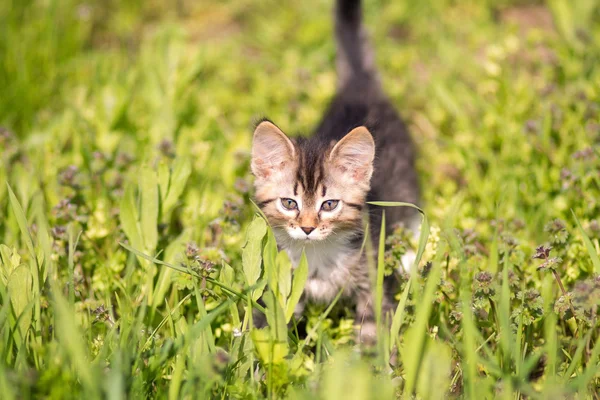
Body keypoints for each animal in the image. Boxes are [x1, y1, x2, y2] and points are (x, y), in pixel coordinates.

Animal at [248, 0, 418, 340]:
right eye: (289, 203)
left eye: (329, 205)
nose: (307, 228)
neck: (316, 256)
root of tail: (359, 86)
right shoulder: (284, 285)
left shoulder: (373, 281)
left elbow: (373, 329)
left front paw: (372, 355)